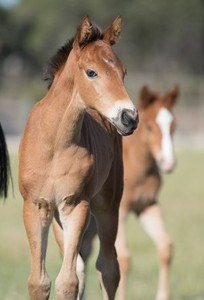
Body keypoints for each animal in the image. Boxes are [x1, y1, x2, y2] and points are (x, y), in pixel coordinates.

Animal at [18, 17, 138, 300]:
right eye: (91, 72)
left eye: (123, 72)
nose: (129, 117)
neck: (54, 144)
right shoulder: (35, 206)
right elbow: (40, 281)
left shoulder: (75, 205)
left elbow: (67, 282)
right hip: (57, 218)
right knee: (81, 267)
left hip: (107, 206)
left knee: (108, 268)